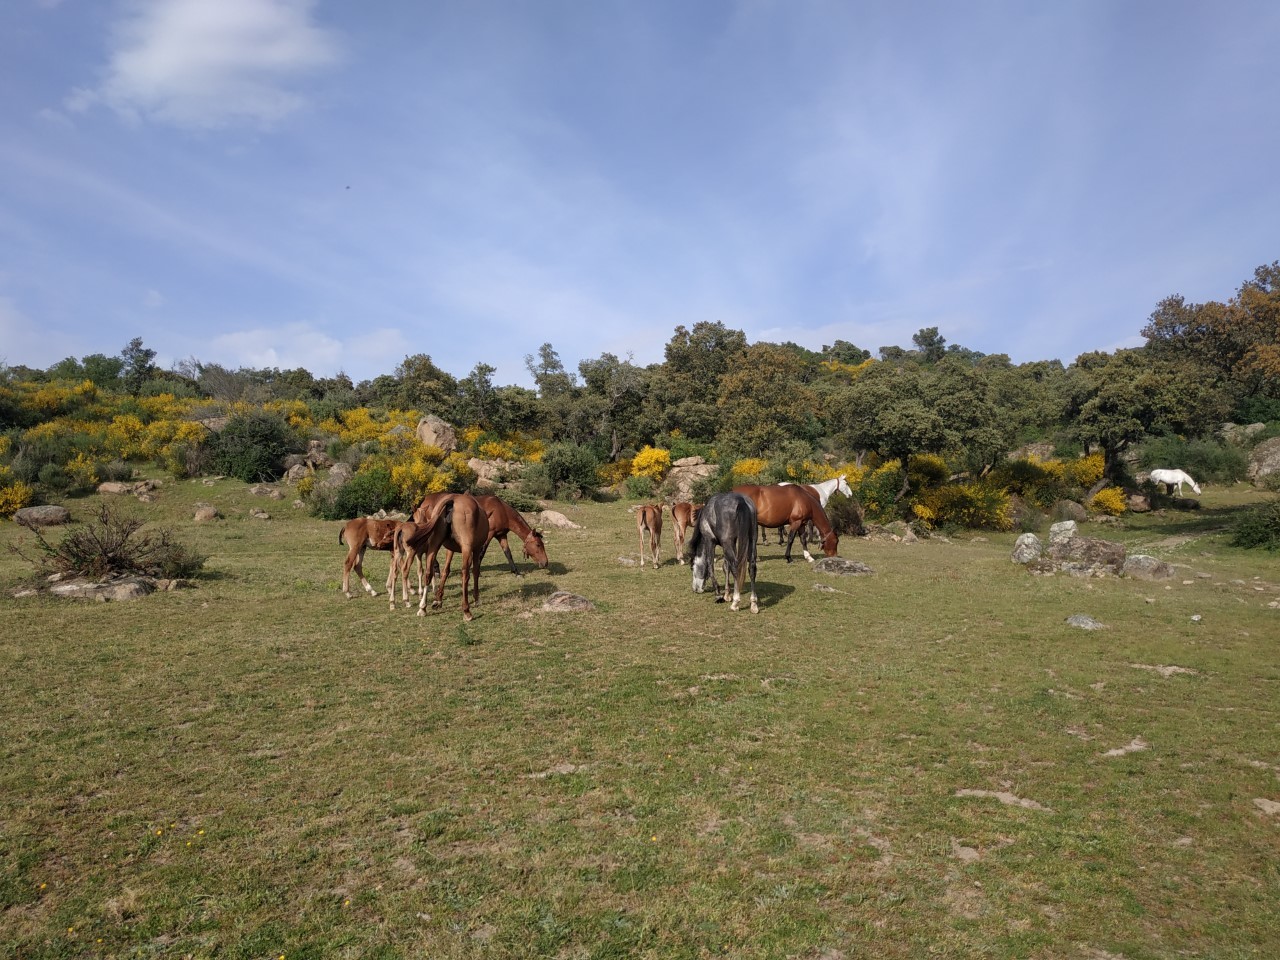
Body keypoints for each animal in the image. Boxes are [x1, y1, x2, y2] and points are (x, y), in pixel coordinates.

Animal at [391, 496, 486, 624]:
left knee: (416, 572)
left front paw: (435, 598)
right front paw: (477, 599)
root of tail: (453, 499)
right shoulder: (475, 549)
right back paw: (466, 611)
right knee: (465, 574)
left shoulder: (441, 551)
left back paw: (417, 607)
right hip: (465, 548)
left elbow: (440, 571)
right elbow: (475, 572)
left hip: (424, 547)